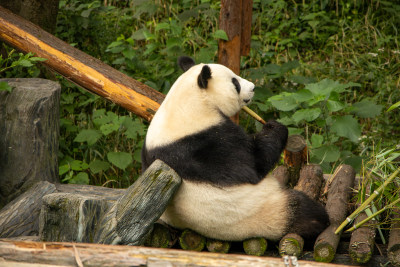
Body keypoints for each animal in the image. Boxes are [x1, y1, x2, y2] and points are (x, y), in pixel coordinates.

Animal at [141, 56, 328, 243]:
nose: (253, 87)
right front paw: (274, 127)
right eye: (235, 82)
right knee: (304, 213)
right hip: (270, 212)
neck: (186, 106)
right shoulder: (206, 143)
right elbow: (252, 166)